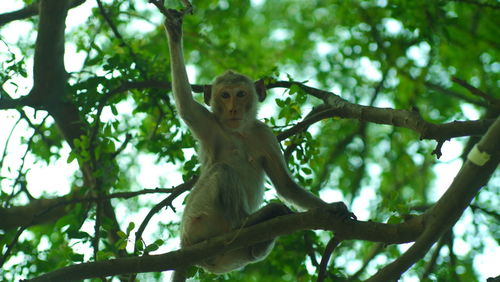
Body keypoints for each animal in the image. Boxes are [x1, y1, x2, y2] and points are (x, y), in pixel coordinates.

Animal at [162, 5, 354, 280]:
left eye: (241, 94)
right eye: (225, 95)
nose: (233, 108)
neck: (239, 133)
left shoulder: (264, 134)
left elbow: (285, 185)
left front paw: (331, 208)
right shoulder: (209, 124)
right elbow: (186, 105)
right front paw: (174, 33)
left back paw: (260, 236)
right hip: (195, 219)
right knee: (222, 171)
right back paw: (248, 221)